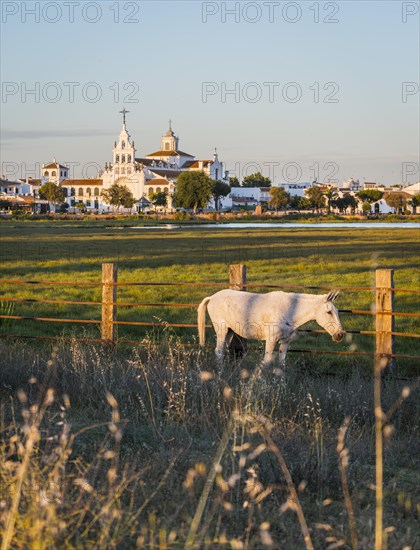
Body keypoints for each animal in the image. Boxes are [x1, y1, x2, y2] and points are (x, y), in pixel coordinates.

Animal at [197, 292, 344, 368]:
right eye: (329, 312)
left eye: (337, 311)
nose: (340, 335)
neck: (291, 309)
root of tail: (212, 297)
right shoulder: (271, 340)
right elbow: (266, 362)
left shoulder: (285, 342)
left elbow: (281, 364)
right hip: (221, 329)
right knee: (218, 351)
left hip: (229, 331)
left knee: (222, 351)